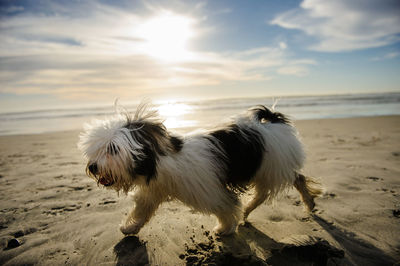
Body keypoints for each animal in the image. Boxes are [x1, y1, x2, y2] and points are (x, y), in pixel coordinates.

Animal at [78, 103, 322, 236]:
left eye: (112, 149)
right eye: (97, 149)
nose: (93, 166)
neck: (161, 161)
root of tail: (272, 121)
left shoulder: (210, 192)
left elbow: (225, 205)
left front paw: (225, 228)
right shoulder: (154, 190)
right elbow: (142, 209)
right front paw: (130, 228)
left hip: (272, 166)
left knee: (283, 184)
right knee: (289, 181)